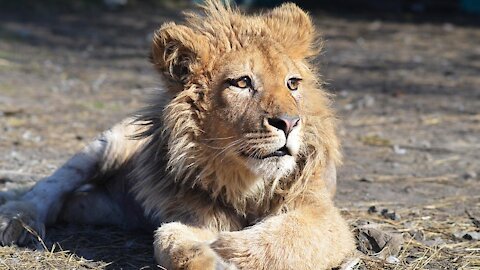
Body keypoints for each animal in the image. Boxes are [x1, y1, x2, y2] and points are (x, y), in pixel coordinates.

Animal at [0, 1, 356, 268]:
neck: (247, 184)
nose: (290, 123)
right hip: (109, 143)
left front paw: (223, 248)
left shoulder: (320, 211)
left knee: (69, 204)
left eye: (292, 83)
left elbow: (286, 238)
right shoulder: (190, 211)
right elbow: (168, 238)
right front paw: (209, 254)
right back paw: (16, 221)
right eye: (242, 83)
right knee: (49, 187)